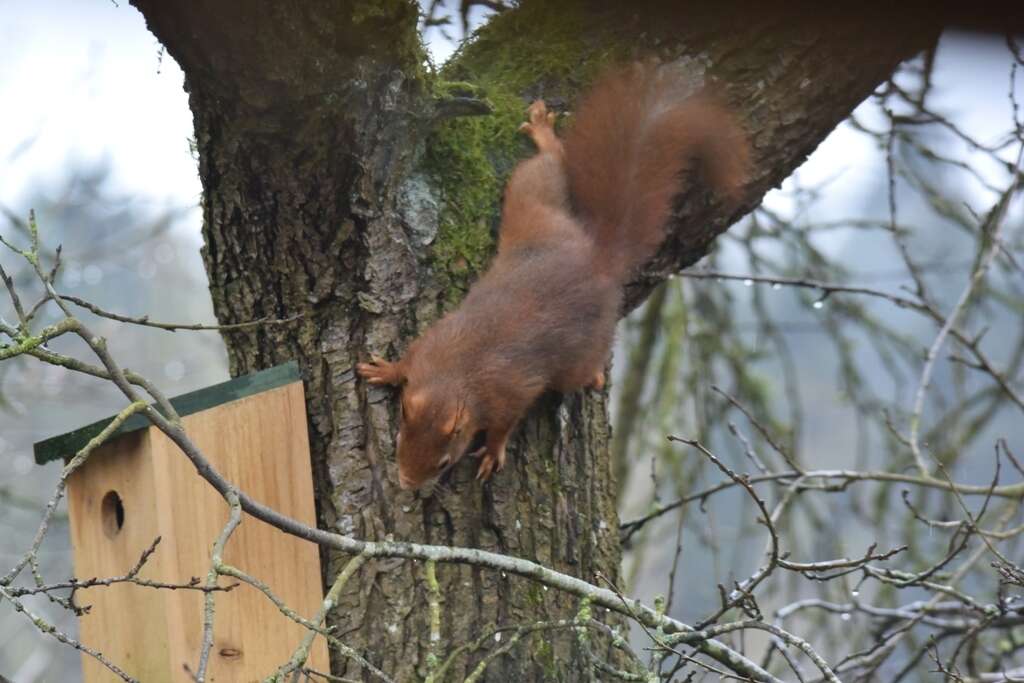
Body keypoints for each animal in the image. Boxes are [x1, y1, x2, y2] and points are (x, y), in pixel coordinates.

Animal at [360, 61, 753, 489]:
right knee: (550, 166)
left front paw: (493, 453)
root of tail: (597, 257)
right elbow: (405, 362)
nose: (406, 484)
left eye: (444, 462)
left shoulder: (512, 392)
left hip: (579, 345)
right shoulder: (428, 347)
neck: (456, 374)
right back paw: (543, 135)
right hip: (535, 206)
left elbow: (504, 425)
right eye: (400, 436)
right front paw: (383, 370)